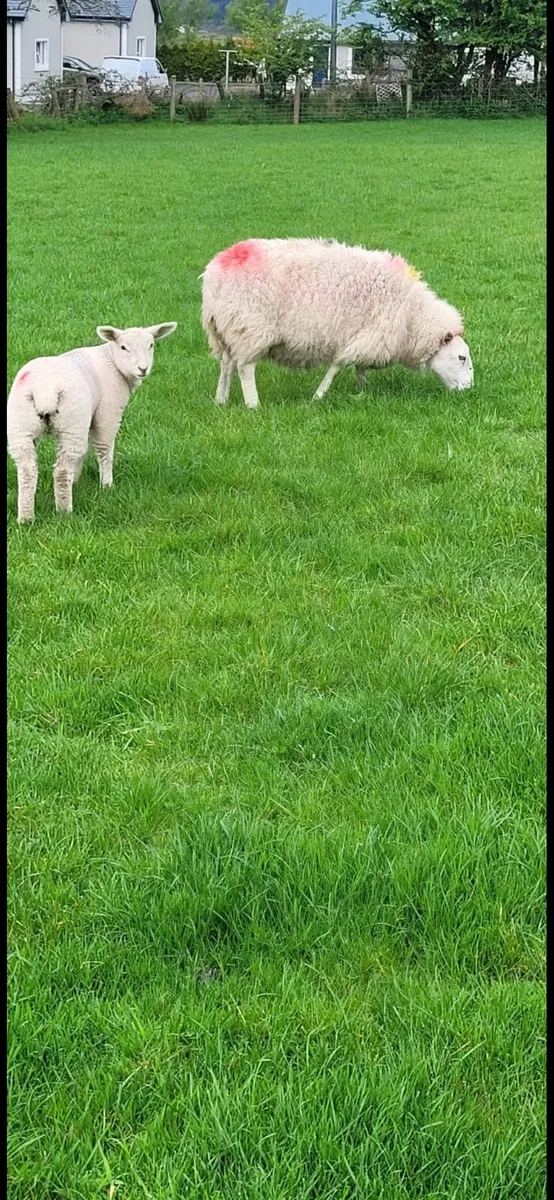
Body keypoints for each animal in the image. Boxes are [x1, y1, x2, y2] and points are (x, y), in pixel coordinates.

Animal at [7, 322, 177, 523]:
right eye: (123, 347)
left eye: (151, 345)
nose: (143, 369)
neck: (112, 360)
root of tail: (44, 390)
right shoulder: (108, 412)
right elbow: (104, 450)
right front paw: (107, 485)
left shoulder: (87, 418)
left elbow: (83, 451)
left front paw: (76, 480)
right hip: (70, 423)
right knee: (62, 470)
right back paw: (64, 511)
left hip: (21, 425)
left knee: (27, 471)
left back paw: (26, 518)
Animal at [201, 238, 474, 409]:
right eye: (462, 358)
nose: (469, 391)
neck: (414, 317)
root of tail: (215, 270)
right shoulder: (368, 335)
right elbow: (337, 366)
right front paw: (318, 397)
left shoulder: (368, 338)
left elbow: (360, 368)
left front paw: (362, 391)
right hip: (250, 328)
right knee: (245, 367)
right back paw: (253, 404)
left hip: (228, 327)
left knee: (227, 363)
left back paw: (221, 399)